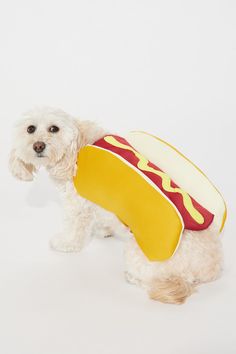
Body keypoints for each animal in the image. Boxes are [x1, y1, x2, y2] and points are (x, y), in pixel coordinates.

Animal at [9, 107, 223, 304]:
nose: (38, 146)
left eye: (54, 128)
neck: (78, 145)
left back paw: (133, 277)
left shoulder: (77, 205)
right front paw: (104, 230)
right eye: (30, 129)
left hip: (138, 255)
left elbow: (74, 230)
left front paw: (65, 242)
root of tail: (212, 266)